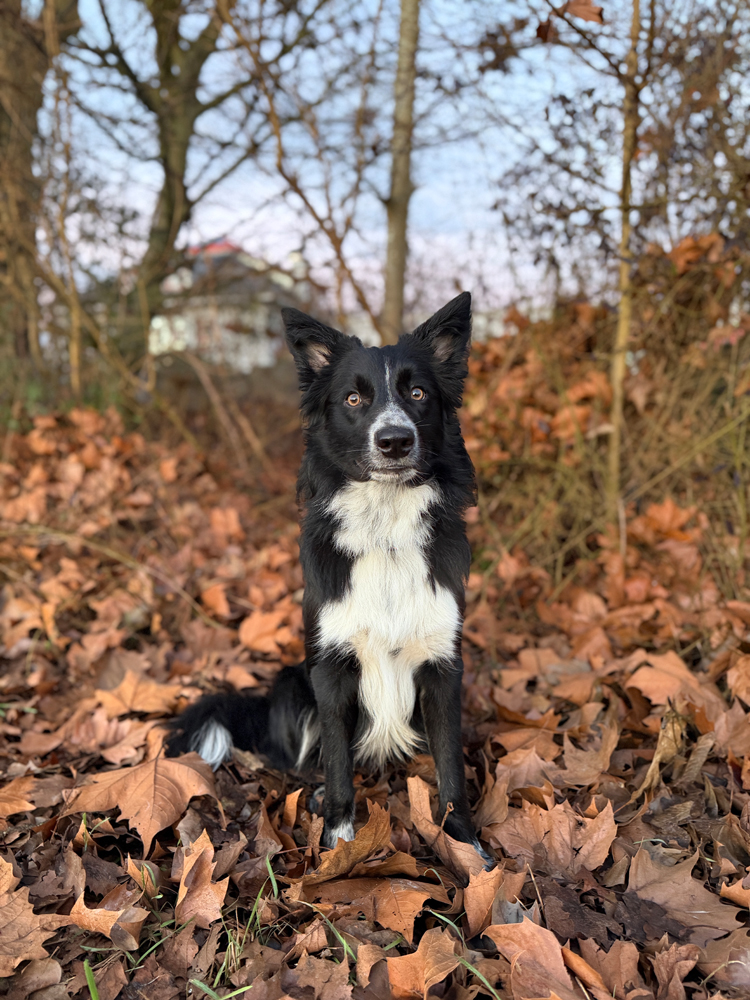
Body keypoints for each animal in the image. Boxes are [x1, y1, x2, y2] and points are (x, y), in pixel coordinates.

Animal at [167, 291, 490, 861]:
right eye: (354, 399)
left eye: (418, 393)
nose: (394, 441)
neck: (384, 533)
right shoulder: (331, 669)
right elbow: (338, 760)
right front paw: (339, 836)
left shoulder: (442, 666)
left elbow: (451, 766)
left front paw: (464, 844)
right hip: (292, 682)